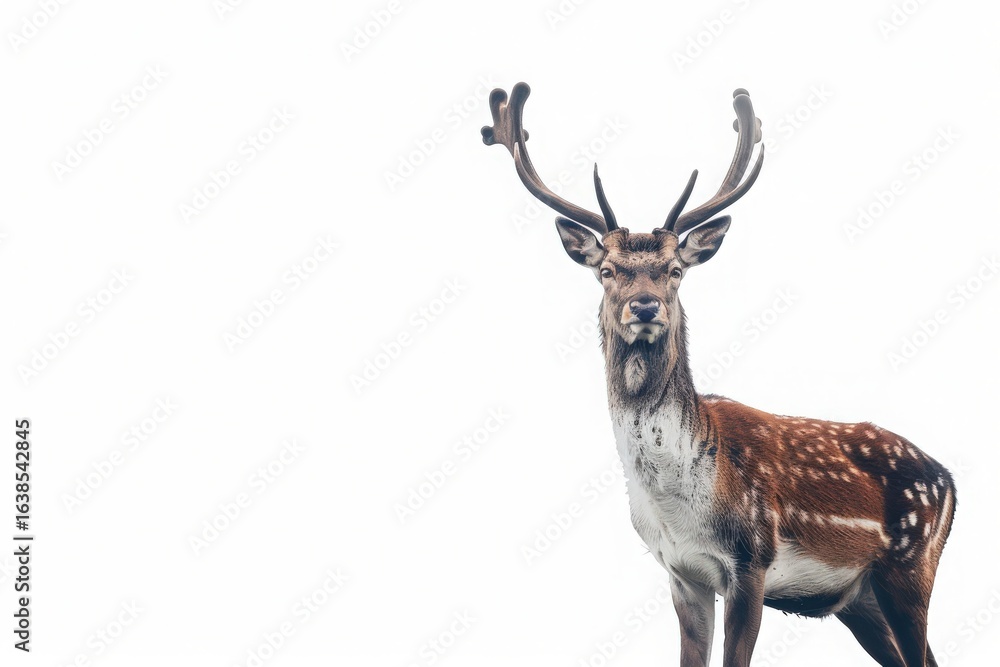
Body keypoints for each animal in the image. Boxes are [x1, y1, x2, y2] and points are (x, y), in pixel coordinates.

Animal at [482, 82, 956, 667]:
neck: (679, 506)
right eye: (607, 270)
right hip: (860, 600)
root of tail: (951, 479)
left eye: (675, 271)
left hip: (911, 564)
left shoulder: (751, 559)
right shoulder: (682, 573)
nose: (644, 305)